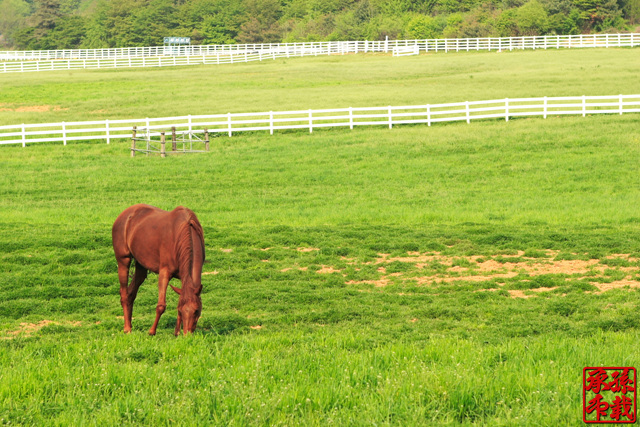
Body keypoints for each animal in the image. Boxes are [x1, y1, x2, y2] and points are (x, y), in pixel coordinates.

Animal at [112, 206, 205, 336]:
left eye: (196, 310)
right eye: (181, 311)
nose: (187, 335)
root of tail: (125, 214)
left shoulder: (183, 277)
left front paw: (176, 333)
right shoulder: (164, 272)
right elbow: (161, 305)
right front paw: (152, 331)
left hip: (141, 264)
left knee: (131, 292)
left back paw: (129, 323)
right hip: (123, 261)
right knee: (124, 294)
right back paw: (127, 328)